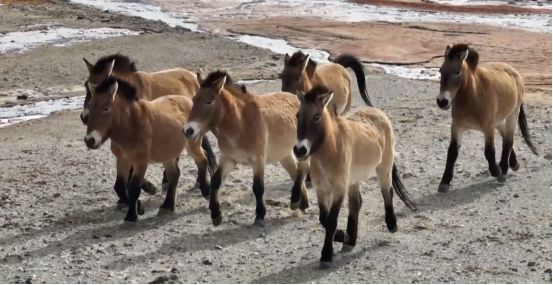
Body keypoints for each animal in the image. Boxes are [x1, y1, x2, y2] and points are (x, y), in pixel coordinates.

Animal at [83, 76, 215, 222]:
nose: (90, 140)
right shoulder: (123, 160)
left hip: (192, 145)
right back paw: (167, 206)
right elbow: (119, 187)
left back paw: (206, 191)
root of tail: (188, 101)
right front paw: (138, 207)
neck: (132, 124)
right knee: (174, 174)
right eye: (90, 107)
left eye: (106, 108)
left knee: (202, 160)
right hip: (168, 154)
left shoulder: (140, 161)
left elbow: (134, 187)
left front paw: (131, 215)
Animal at [182, 70, 308, 226]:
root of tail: (296, 98)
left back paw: (296, 202)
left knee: (302, 171)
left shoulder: (258, 161)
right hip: (284, 155)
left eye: (209, 101)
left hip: (302, 152)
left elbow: (258, 187)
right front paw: (216, 214)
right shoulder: (228, 158)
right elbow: (216, 181)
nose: (188, 130)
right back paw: (301, 204)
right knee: (295, 173)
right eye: (194, 99)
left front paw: (260, 214)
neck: (241, 123)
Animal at [294, 85, 414, 268]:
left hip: (384, 167)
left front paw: (326, 255)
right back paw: (350, 240)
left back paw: (391, 224)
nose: (300, 150)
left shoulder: (339, 188)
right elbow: (324, 218)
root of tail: (377, 112)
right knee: (356, 203)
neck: (331, 148)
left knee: (387, 191)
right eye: (298, 115)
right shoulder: (321, 189)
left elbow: (331, 220)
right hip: (354, 180)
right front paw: (342, 236)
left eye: (317, 117)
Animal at [434, 43, 536, 192]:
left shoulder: (487, 128)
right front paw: (444, 182)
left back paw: (503, 171)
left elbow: (489, 151)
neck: (473, 96)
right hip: (498, 120)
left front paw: (496, 170)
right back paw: (514, 163)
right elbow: (452, 152)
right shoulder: (457, 127)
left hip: (512, 114)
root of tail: (514, 72)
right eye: (441, 70)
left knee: (508, 140)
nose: (442, 101)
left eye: (457, 72)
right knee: (505, 135)